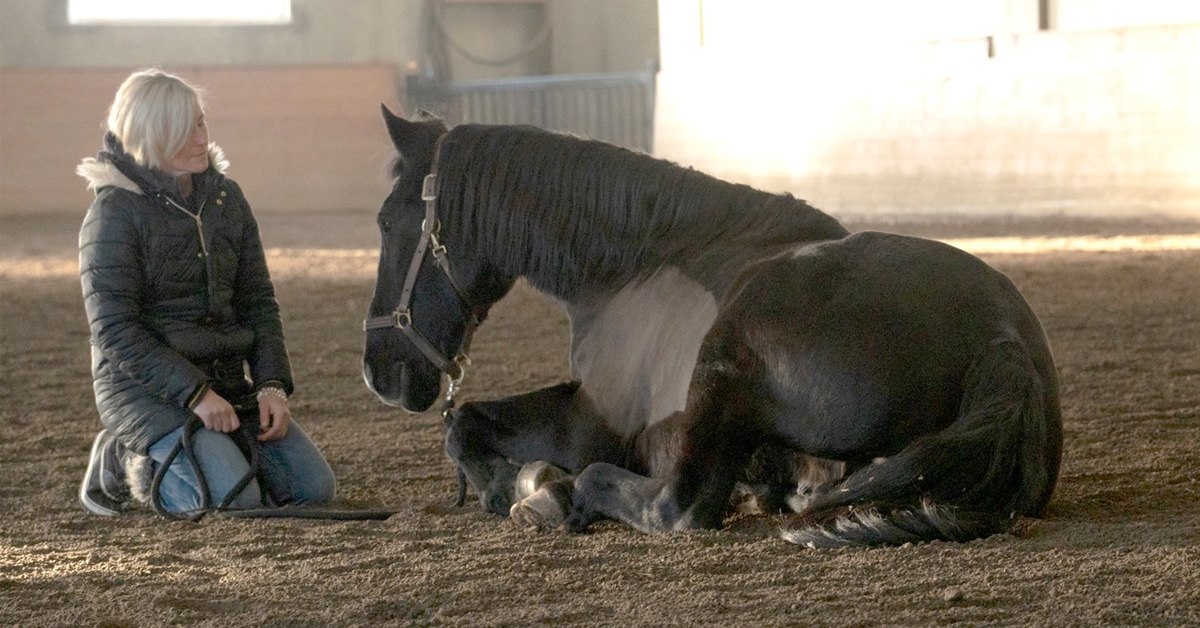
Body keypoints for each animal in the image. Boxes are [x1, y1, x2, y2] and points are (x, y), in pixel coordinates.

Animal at [360, 105, 1065, 547]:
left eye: (389, 222)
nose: (378, 372)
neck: (635, 266)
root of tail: (1001, 337)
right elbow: (466, 420)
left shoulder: (593, 421)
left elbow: (465, 427)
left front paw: (514, 484)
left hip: (720, 365)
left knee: (674, 505)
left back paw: (556, 498)